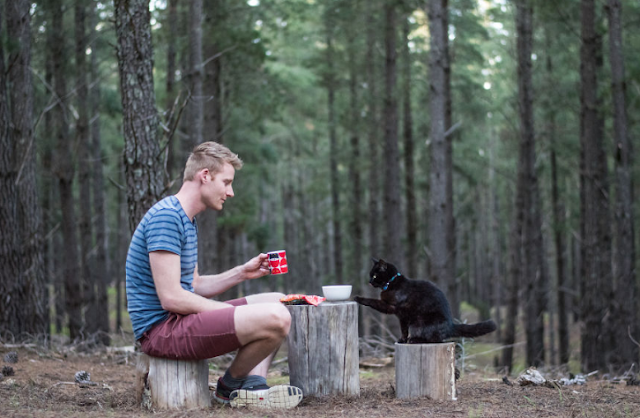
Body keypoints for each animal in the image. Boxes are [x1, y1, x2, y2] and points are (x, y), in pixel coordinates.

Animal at [352, 260, 498, 344]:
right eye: (370, 275)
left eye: (374, 275)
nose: (369, 281)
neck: (391, 283)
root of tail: (451, 325)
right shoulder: (401, 316)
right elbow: (403, 329)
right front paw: (402, 340)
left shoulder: (392, 307)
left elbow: (373, 301)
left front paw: (358, 298)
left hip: (418, 322)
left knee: (435, 339)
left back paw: (415, 340)